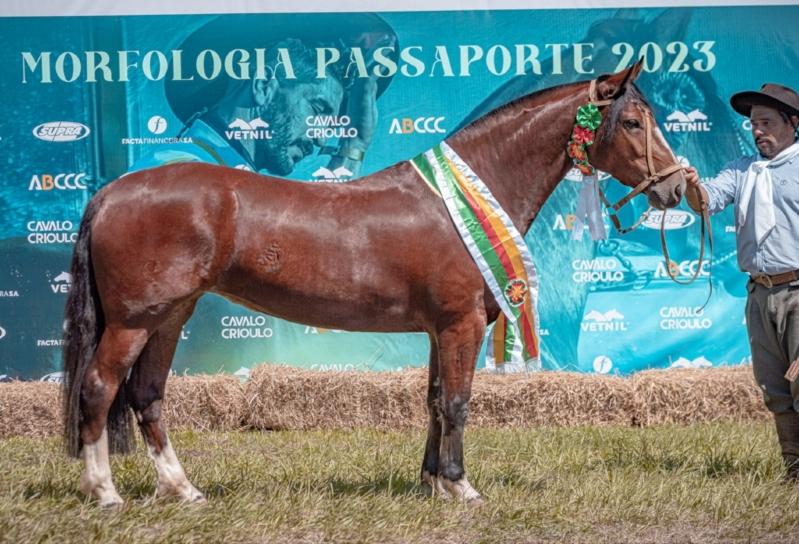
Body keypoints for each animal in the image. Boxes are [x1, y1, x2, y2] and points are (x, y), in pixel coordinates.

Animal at [62, 59, 688, 506]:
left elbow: (434, 400)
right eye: (632, 122)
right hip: (133, 321)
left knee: (146, 395)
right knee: (98, 387)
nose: (676, 188)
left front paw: (430, 483)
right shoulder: (460, 324)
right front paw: (461, 486)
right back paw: (106, 493)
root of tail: (111, 192)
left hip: (170, 316)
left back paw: (183, 489)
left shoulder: (439, 330)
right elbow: (458, 402)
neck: (458, 201)